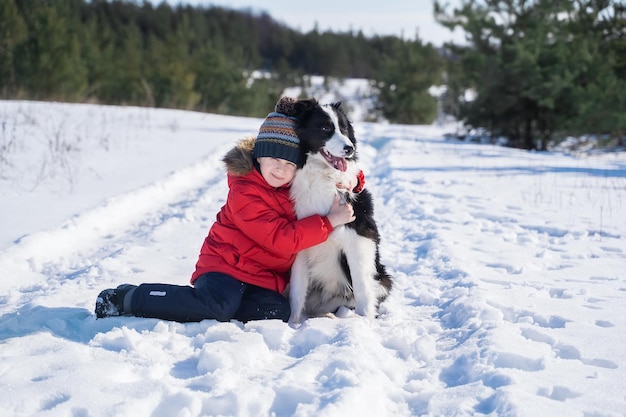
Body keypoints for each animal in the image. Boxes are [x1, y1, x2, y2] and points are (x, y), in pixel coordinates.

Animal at [286, 99, 390, 324]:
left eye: (344, 129)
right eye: (325, 128)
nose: (349, 148)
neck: (323, 176)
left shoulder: (358, 238)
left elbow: (361, 287)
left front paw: (364, 323)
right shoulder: (300, 248)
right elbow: (297, 293)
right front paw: (292, 325)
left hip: (383, 279)